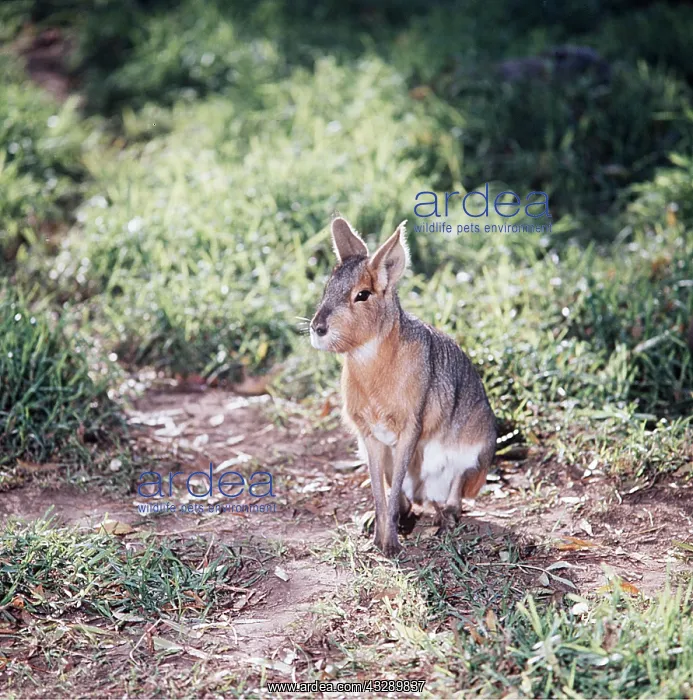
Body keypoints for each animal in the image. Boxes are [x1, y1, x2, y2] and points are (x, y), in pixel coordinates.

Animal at [310, 216, 497, 557]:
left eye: (363, 294)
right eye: (328, 287)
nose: (317, 328)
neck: (371, 361)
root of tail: (429, 492)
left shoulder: (410, 428)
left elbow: (394, 485)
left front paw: (391, 544)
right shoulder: (369, 435)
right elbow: (380, 491)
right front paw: (379, 536)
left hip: (476, 447)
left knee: (457, 485)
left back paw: (446, 517)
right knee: (406, 495)